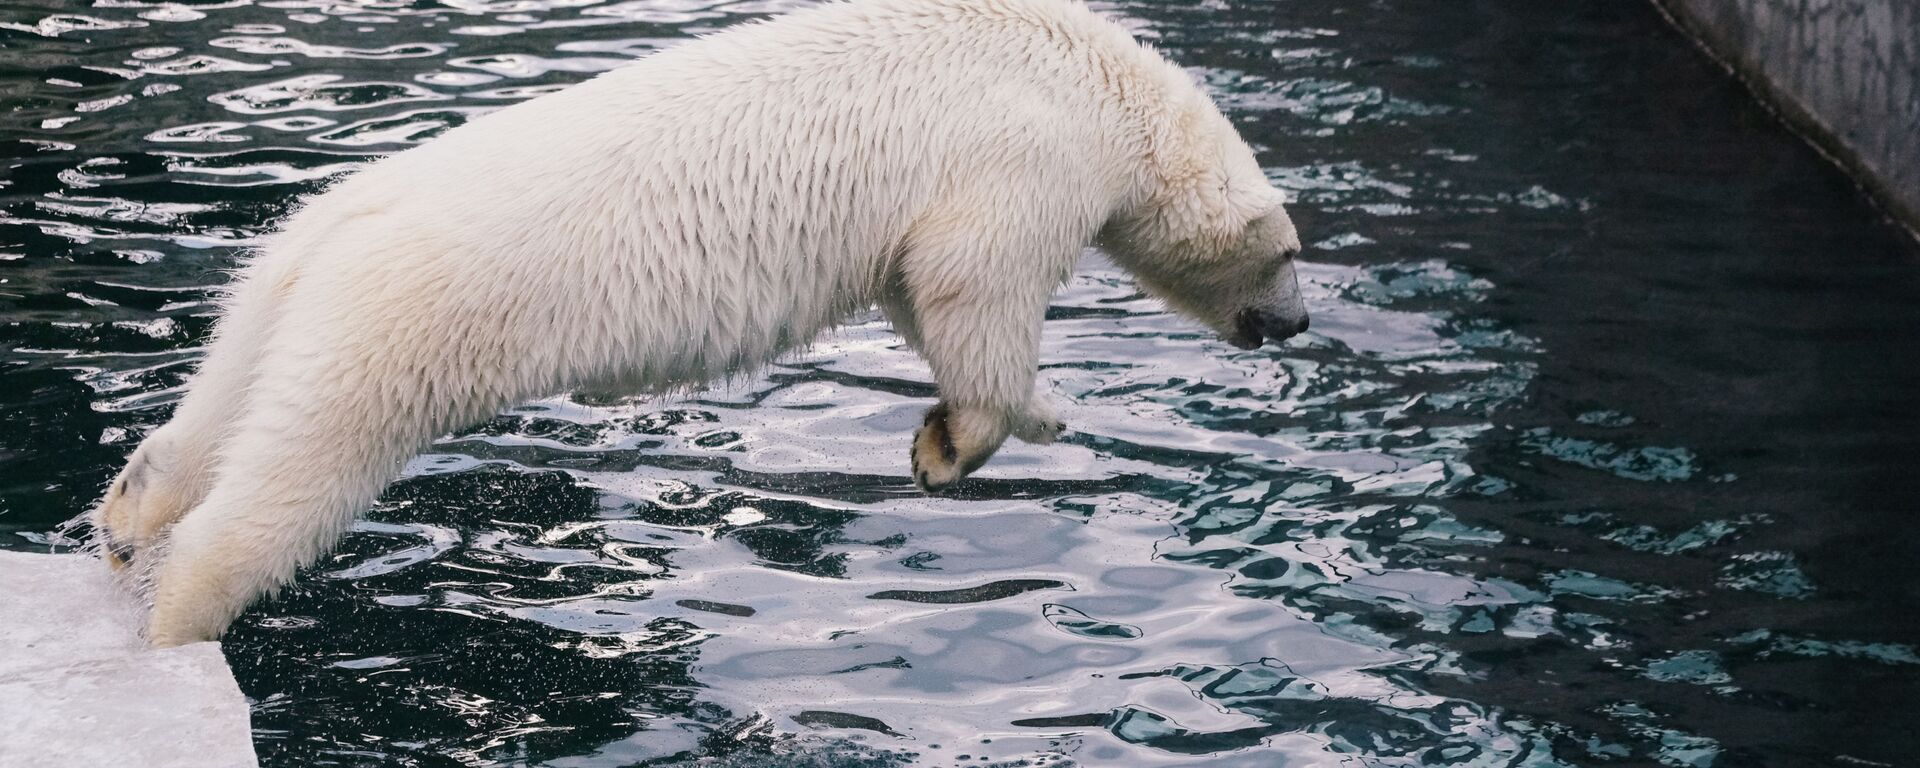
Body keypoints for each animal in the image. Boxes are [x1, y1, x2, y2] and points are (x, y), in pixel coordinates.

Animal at [91, 0, 1308, 646]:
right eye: (1292, 252)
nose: (1296, 325)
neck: (1101, 87)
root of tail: (342, 226)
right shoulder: (1022, 156)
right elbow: (972, 291)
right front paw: (989, 432)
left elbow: (916, 290)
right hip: (403, 322)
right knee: (297, 477)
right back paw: (176, 621)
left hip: (283, 291)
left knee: (224, 409)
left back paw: (128, 518)